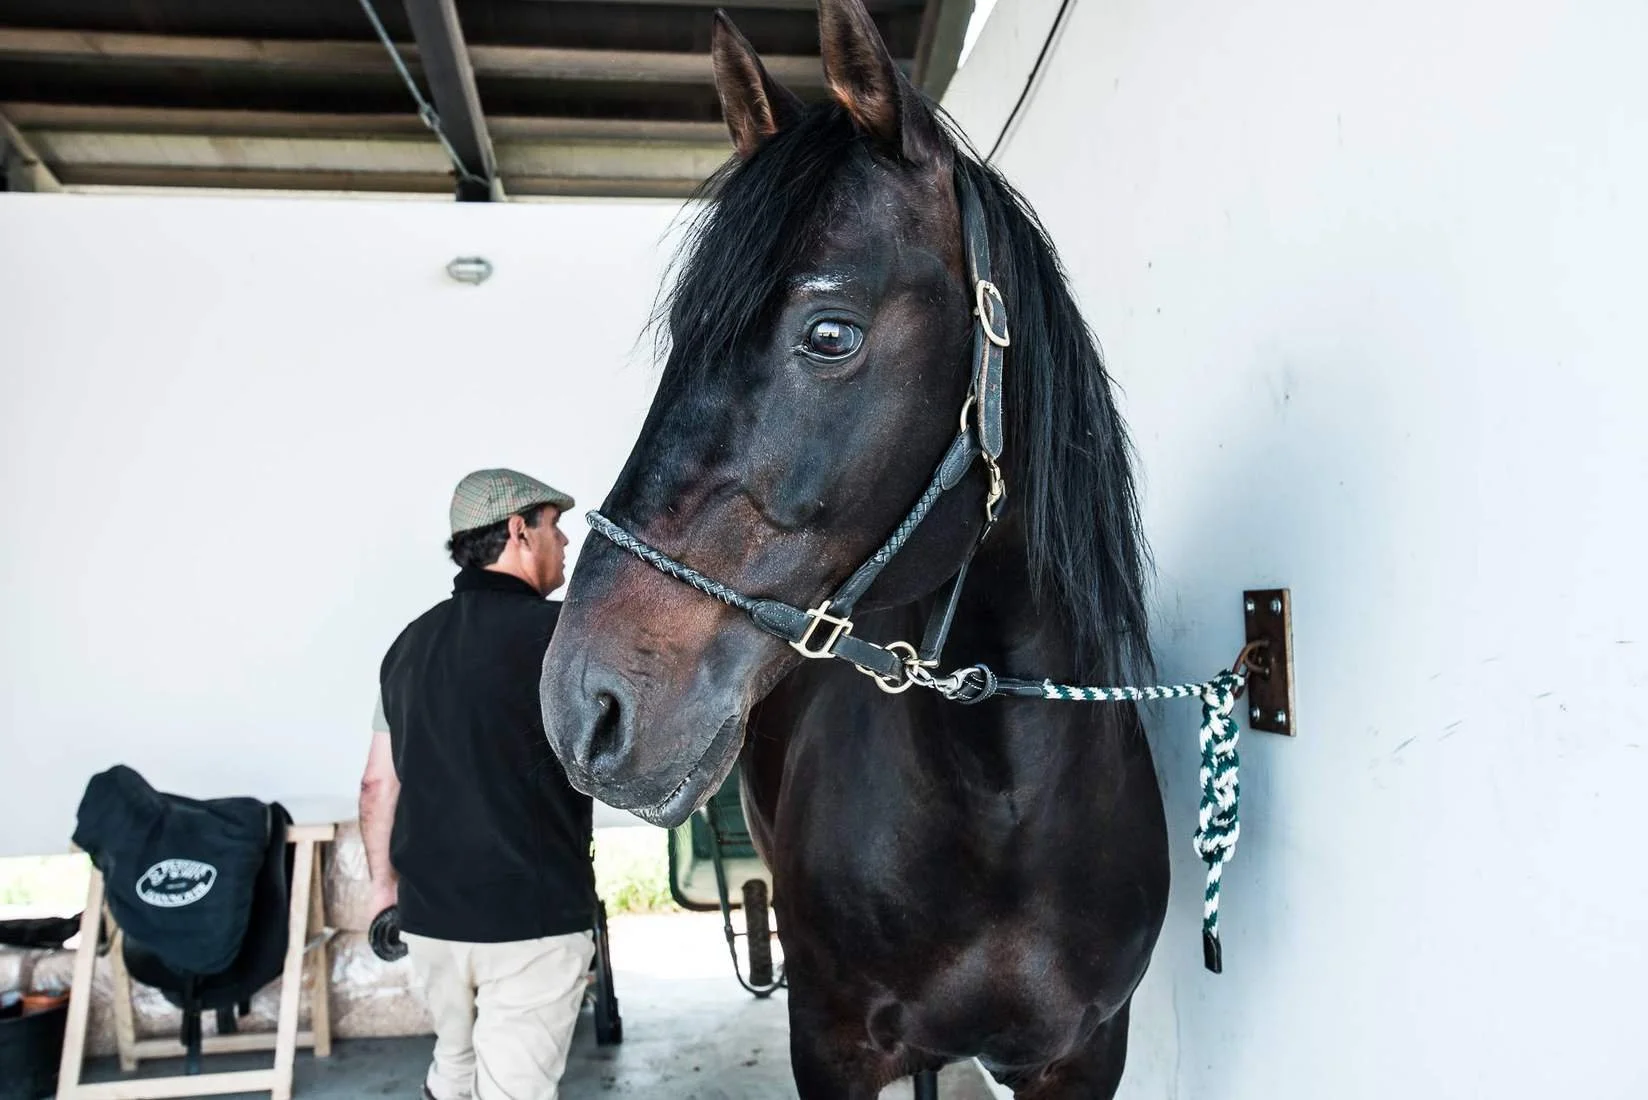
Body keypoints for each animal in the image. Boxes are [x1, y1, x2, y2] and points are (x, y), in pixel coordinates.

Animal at [541, 1, 1166, 1093]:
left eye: (829, 334)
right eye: (682, 337)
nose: (584, 705)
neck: (1001, 802)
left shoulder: (1085, 1052)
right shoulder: (831, 1046)